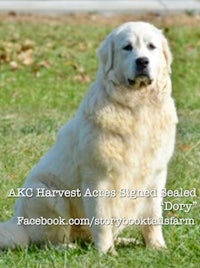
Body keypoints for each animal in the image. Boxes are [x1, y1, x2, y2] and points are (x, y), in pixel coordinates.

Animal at [0, 21, 178, 253]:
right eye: (127, 47)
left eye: (151, 47)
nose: (142, 61)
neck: (138, 107)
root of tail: (17, 222)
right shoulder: (98, 178)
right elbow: (102, 220)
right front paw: (107, 253)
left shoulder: (156, 175)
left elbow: (153, 218)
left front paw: (158, 248)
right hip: (44, 192)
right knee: (49, 240)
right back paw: (68, 248)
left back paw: (124, 241)